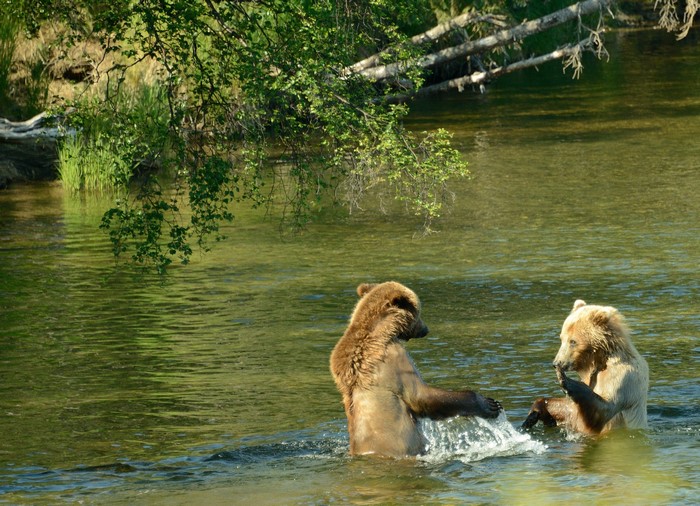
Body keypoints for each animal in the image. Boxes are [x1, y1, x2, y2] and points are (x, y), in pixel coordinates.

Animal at [330, 281, 502, 458]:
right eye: (419, 312)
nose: (426, 329)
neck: (384, 330)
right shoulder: (393, 359)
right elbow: (419, 394)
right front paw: (490, 404)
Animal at [522, 300, 649, 435]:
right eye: (562, 338)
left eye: (573, 341)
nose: (556, 363)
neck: (599, 360)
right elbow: (571, 409)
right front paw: (535, 413)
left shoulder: (623, 377)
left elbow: (603, 410)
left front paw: (569, 382)